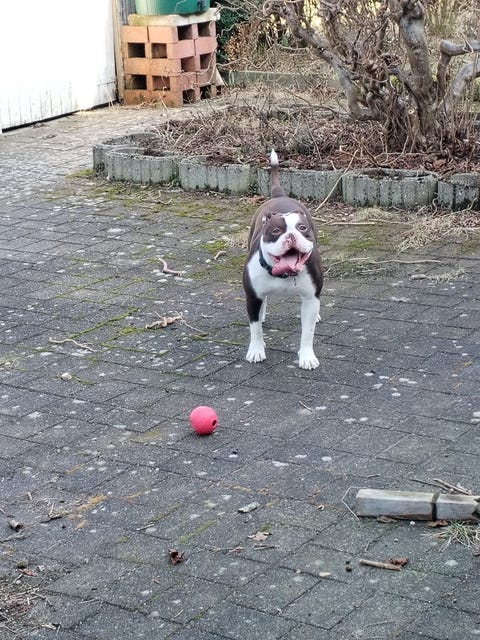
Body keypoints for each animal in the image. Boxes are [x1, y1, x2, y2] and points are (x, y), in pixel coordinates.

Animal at [243, 150, 323, 370]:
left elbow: (307, 333)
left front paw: (307, 356)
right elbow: (255, 330)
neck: (284, 275)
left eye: (302, 228)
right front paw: (256, 351)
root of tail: (280, 195)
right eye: (276, 231)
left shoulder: (310, 299)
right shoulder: (252, 297)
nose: (291, 235)